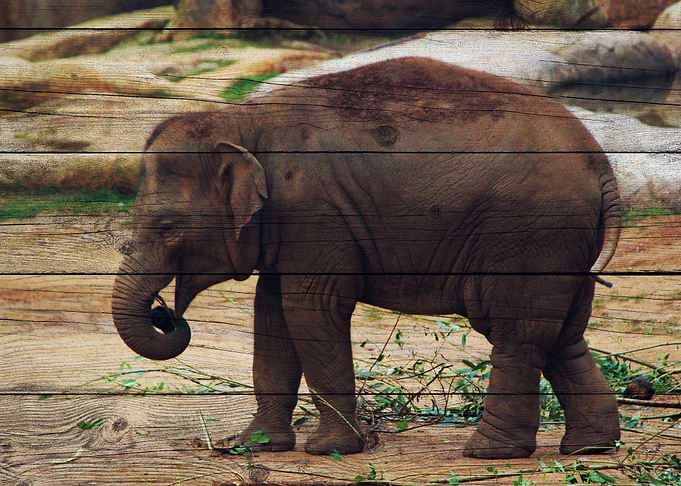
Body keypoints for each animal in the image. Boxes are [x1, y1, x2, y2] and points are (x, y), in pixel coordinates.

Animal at [112, 57, 622, 459]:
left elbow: (311, 308)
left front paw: (329, 449)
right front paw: (252, 445)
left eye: (166, 226)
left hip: (529, 233)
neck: (241, 122)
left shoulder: (314, 210)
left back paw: (488, 452)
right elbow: (271, 312)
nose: (164, 314)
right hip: (564, 243)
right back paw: (589, 448)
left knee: (516, 330)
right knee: (562, 334)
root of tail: (601, 164)